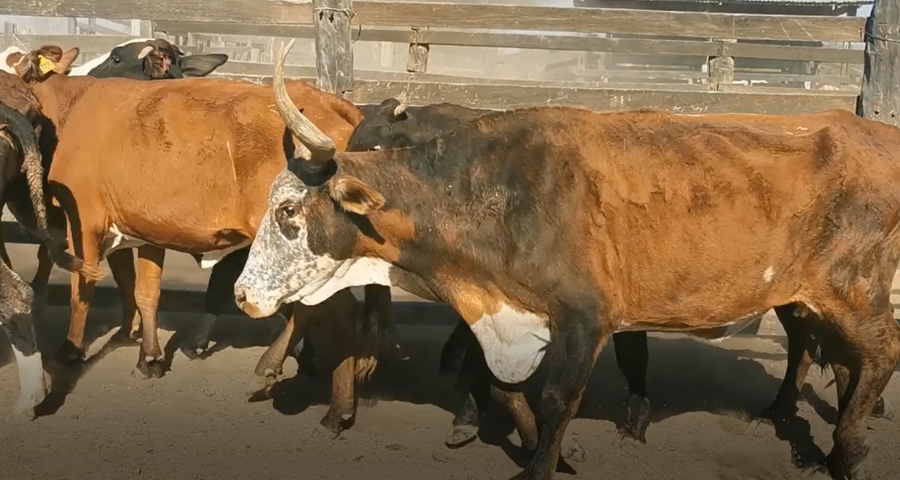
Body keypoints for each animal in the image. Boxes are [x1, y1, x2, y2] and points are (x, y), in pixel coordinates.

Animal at [14, 44, 392, 434]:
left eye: (118, 59)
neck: (72, 105)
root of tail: (332, 102)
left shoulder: (84, 221)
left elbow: (81, 292)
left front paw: (70, 350)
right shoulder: (148, 228)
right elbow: (146, 293)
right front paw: (149, 357)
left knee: (337, 312)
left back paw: (333, 407)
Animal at [234, 40, 900, 480]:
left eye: (288, 211)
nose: (243, 295)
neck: (492, 191)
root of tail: (868, 132)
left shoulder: (586, 316)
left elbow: (558, 399)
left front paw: (542, 463)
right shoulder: (510, 315)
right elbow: (510, 391)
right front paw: (552, 451)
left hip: (853, 288)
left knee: (878, 352)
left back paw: (847, 449)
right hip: (806, 296)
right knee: (831, 354)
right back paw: (799, 423)